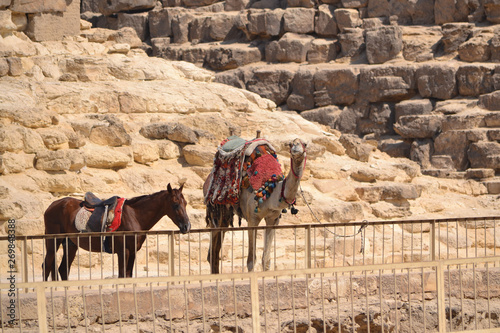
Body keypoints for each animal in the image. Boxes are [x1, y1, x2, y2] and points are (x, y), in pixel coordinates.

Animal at [42, 184, 190, 280]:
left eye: (186, 203)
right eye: (175, 204)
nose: (187, 226)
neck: (134, 216)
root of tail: (51, 206)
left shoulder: (133, 251)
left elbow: (128, 275)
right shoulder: (123, 251)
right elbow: (122, 275)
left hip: (70, 244)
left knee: (62, 269)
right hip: (53, 242)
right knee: (47, 266)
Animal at [205, 137, 306, 272]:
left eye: (305, 144)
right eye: (290, 144)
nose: (296, 149)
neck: (269, 191)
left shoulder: (273, 219)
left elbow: (266, 259)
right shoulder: (252, 218)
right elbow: (251, 260)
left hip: (225, 215)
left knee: (215, 251)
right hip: (215, 210)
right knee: (213, 252)